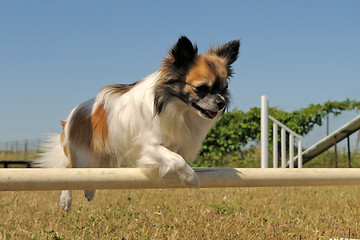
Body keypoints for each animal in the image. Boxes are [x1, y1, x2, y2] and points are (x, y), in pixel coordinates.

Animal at [35, 36, 239, 211]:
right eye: (202, 88)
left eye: (224, 88)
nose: (221, 102)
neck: (178, 107)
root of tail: (71, 117)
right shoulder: (148, 147)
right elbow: (176, 159)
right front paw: (191, 178)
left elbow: (177, 155)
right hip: (82, 156)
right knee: (68, 170)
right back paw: (66, 200)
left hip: (102, 157)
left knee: (90, 174)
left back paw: (90, 191)